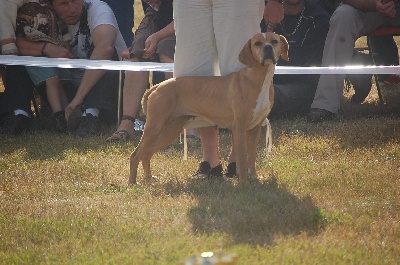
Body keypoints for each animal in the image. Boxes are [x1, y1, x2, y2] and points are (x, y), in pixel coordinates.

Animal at [130, 32, 290, 184]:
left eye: (274, 41)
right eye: (257, 43)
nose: (268, 48)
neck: (258, 78)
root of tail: (157, 86)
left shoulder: (255, 128)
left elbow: (251, 157)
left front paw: (255, 178)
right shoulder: (239, 127)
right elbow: (242, 159)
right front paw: (244, 183)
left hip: (169, 130)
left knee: (146, 154)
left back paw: (149, 179)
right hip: (155, 127)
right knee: (136, 155)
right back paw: (132, 183)